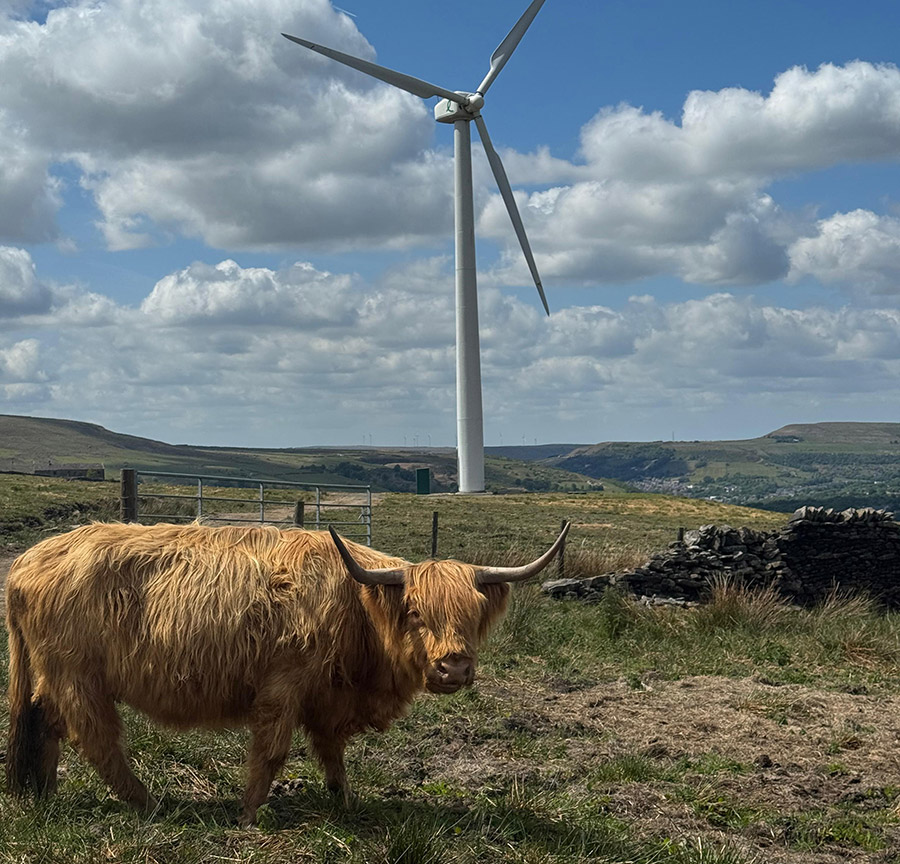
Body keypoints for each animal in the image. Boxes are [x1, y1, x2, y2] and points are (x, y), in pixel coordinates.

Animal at [5, 519, 568, 824]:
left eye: (473, 614)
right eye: (414, 613)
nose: (454, 667)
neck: (358, 607)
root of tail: (29, 558)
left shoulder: (328, 696)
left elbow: (332, 752)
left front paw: (345, 801)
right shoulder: (284, 685)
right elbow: (272, 752)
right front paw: (248, 816)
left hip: (55, 676)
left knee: (44, 721)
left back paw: (45, 793)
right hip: (78, 675)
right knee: (95, 736)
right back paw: (146, 802)